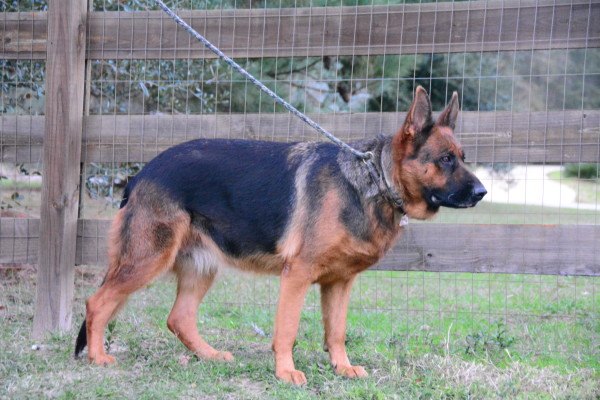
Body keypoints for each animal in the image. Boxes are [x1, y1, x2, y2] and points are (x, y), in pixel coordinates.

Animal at [75, 86, 488, 384]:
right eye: (446, 159)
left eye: (462, 157)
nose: (483, 192)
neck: (375, 180)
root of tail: (142, 173)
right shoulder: (298, 276)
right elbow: (287, 330)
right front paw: (286, 372)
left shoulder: (340, 283)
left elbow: (336, 332)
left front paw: (342, 368)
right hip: (148, 259)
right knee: (98, 302)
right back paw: (97, 358)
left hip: (201, 267)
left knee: (179, 318)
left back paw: (209, 356)